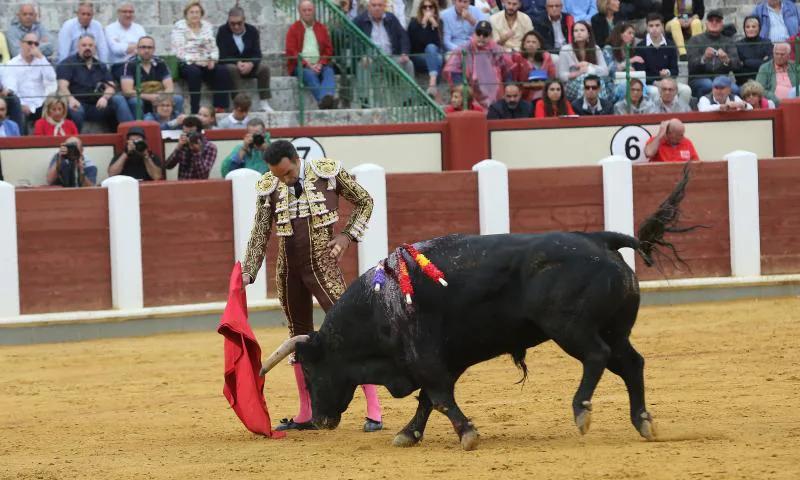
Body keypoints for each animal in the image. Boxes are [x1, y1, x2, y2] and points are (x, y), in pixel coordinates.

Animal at [260, 162, 696, 450]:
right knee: (631, 363)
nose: (320, 421)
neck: (379, 306)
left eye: (311, 371)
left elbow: (438, 396)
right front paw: (409, 434)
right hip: (615, 327)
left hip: (570, 328)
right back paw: (644, 423)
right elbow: (428, 399)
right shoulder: (439, 359)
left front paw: (467, 433)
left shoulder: (424, 357)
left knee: (597, 356)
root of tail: (600, 239)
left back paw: (581, 411)